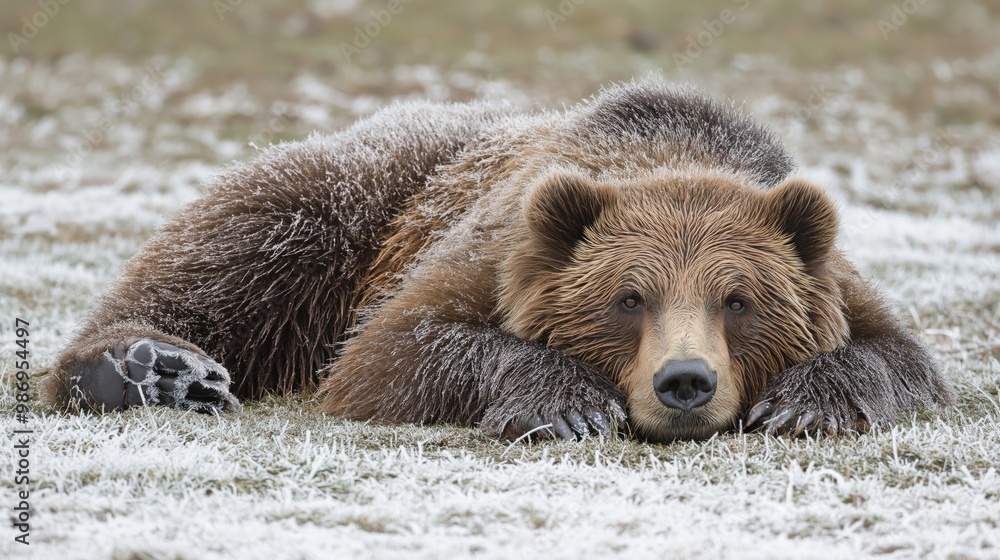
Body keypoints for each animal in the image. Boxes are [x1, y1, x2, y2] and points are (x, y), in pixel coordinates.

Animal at [41, 79, 953, 442]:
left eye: (740, 300)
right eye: (628, 298)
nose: (685, 381)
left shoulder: (838, 279)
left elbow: (900, 359)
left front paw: (805, 404)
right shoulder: (495, 249)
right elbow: (394, 351)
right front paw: (568, 405)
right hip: (364, 198)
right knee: (239, 248)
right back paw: (154, 367)